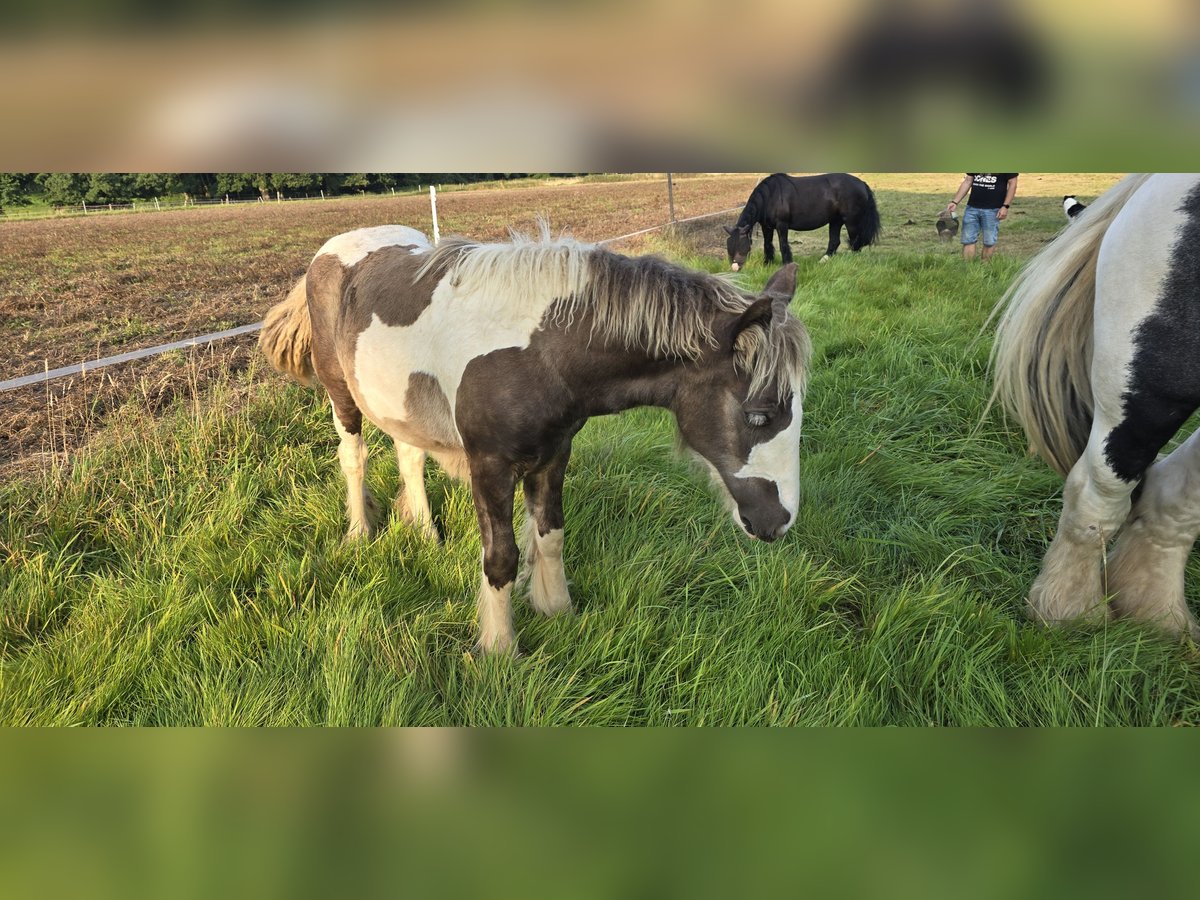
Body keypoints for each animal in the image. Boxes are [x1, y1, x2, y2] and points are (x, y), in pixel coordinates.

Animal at [258, 222, 811, 652]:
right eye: (759, 415)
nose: (779, 522)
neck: (543, 352)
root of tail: (331, 249)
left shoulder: (554, 454)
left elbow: (551, 535)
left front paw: (557, 610)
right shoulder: (490, 467)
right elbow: (501, 557)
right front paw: (499, 649)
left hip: (400, 403)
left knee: (409, 456)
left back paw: (425, 533)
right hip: (342, 396)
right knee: (354, 457)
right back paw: (360, 533)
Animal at [720, 172, 883, 270]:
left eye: (742, 245)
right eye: (729, 246)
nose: (734, 268)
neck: (770, 196)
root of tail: (862, 183)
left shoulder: (782, 225)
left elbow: (783, 245)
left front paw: (786, 264)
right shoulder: (767, 226)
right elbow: (767, 244)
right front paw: (767, 264)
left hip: (851, 222)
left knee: (856, 243)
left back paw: (852, 264)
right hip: (835, 221)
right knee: (835, 241)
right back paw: (823, 261)